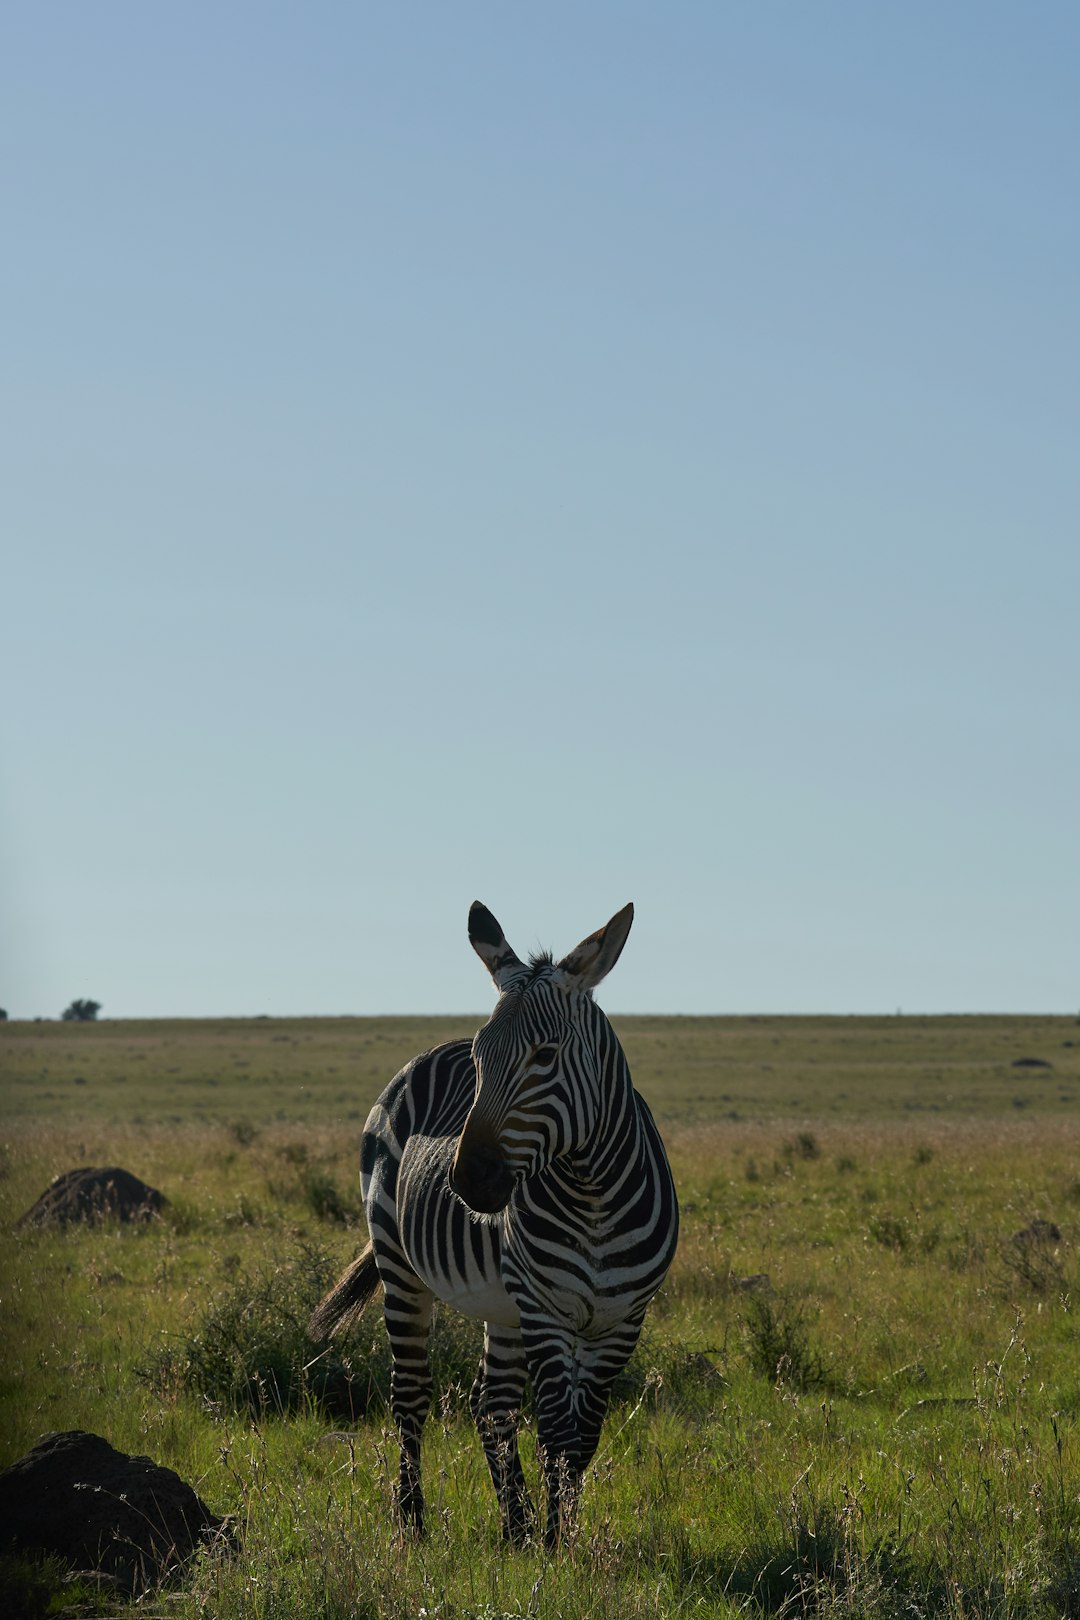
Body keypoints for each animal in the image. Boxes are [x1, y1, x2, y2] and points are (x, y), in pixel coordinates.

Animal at [307, 907, 676, 1548]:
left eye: (546, 1055)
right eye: (481, 1059)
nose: (469, 1181)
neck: (594, 1194)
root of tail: (427, 1053)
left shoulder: (622, 1320)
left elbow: (583, 1437)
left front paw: (560, 1536)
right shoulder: (544, 1308)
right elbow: (556, 1431)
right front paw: (558, 1548)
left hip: (502, 1304)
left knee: (492, 1402)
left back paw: (515, 1525)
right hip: (402, 1264)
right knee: (412, 1393)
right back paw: (413, 1522)